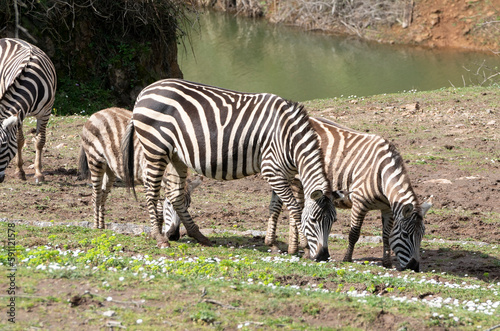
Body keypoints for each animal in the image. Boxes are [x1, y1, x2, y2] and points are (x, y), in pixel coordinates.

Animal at [0, 39, 57, 185]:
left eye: (3, 145)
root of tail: (5, 39)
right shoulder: (20, 115)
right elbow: (19, 140)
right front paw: (19, 171)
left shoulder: (46, 112)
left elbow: (40, 141)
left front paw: (38, 173)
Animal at [123, 79, 346, 260]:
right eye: (315, 220)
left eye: (334, 221)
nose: (324, 256)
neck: (289, 139)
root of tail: (145, 91)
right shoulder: (272, 170)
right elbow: (294, 208)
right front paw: (306, 248)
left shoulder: (281, 173)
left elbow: (275, 207)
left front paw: (272, 244)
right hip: (155, 148)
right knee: (151, 192)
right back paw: (160, 238)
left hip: (176, 155)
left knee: (175, 194)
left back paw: (199, 236)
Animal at [264, 117, 432, 272]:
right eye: (405, 235)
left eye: (422, 235)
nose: (414, 267)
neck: (382, 174)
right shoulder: (359, 203)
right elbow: (354, 233)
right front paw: (347, 259)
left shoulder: (387, 208)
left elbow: (386, 235)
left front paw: (387, 263)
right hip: (295, 179)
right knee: (293, 210)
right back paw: (291, 248)